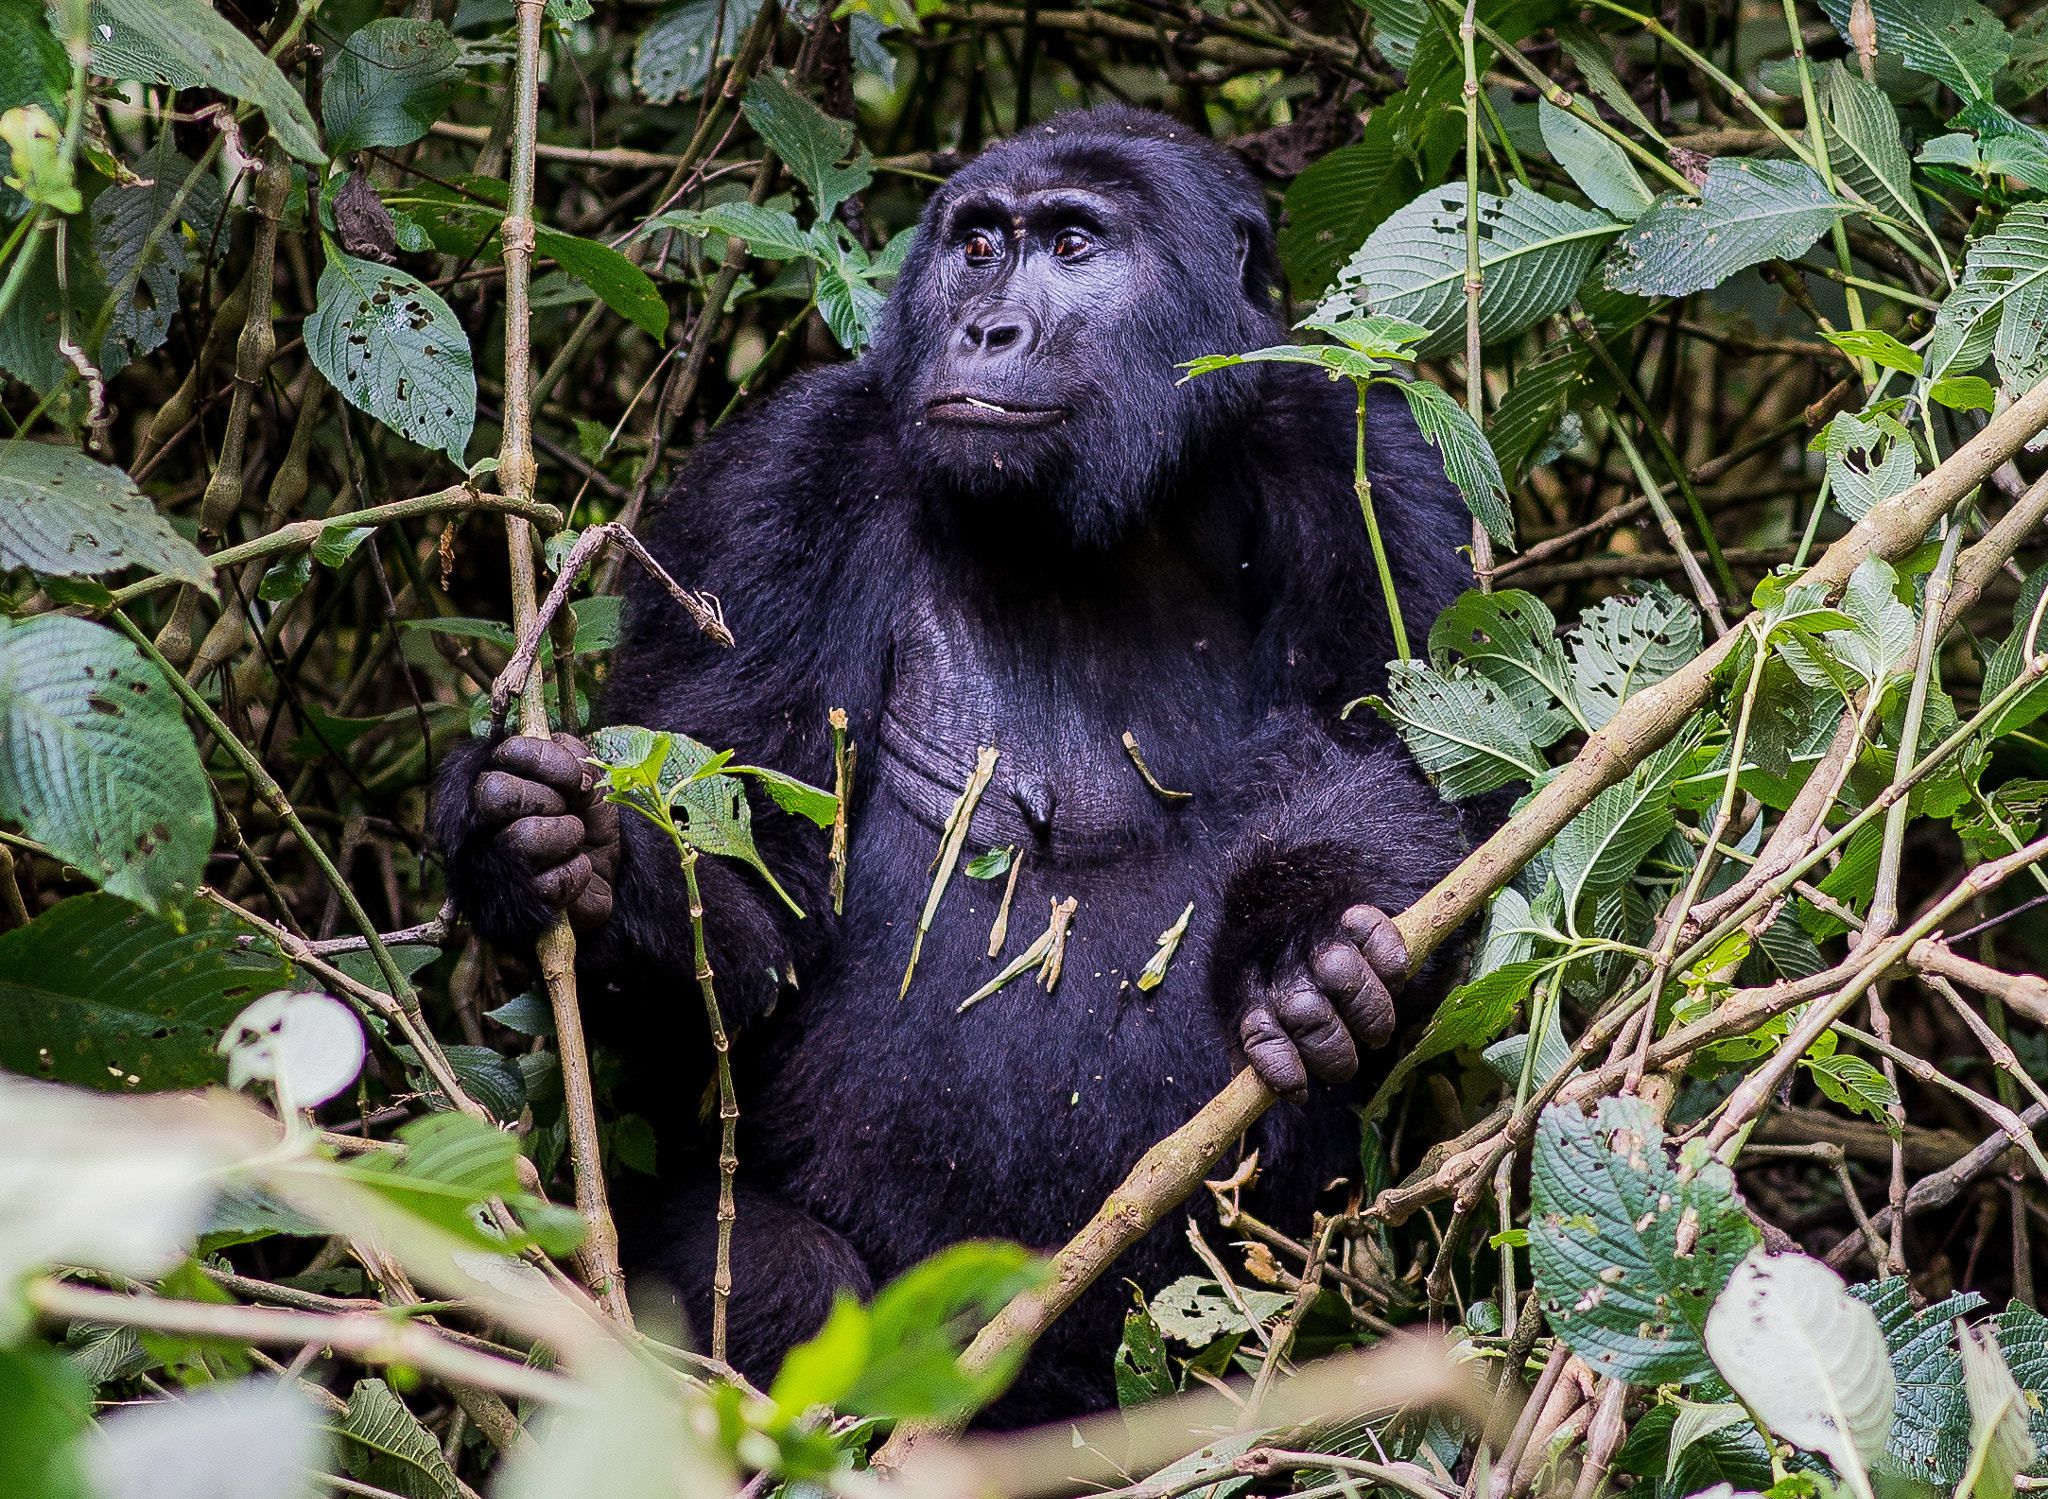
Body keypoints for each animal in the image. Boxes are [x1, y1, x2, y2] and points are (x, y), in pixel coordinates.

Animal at [440, 108, 1482, 1425]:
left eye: (1075, 245)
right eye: (978, 243)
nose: (986, 327)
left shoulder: (1359, 452)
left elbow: (1427, 777)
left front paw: (1312, 943)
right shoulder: (783, 475)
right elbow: (755, 913)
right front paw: (569, 853)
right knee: (791, 1285)